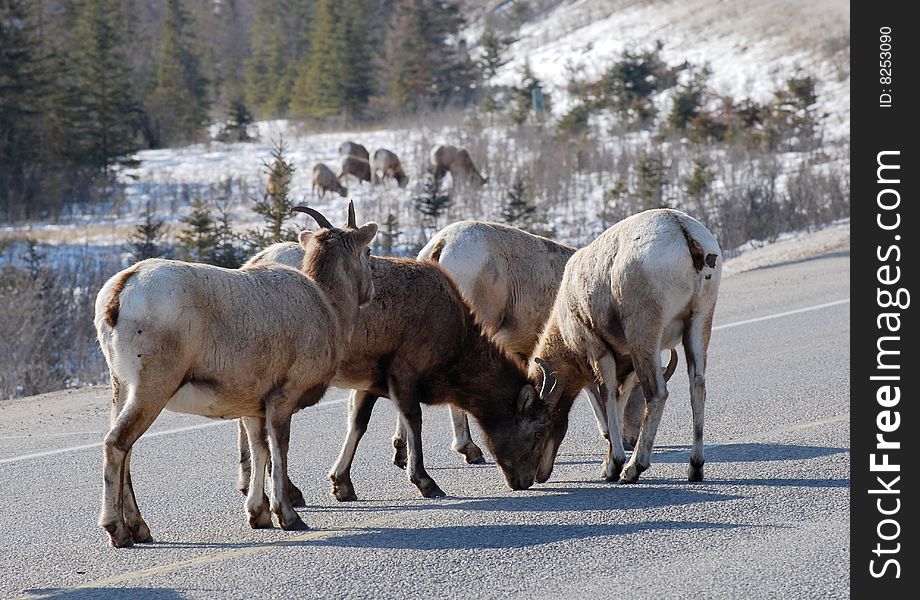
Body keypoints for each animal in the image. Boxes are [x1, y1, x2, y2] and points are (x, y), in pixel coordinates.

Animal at [237, 241, 552, 500]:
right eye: (539, 432)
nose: (526, 480)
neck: (456, 346)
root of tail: (253, 261)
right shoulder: (404, 371)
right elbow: (413, 420)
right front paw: (425, 481)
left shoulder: (371, 382)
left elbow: (358, 424)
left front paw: (342, 483)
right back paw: (286, 492)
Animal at [532, 209, 720, 486]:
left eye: (539, 427)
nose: (537, 475)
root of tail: (682, 229)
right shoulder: (627, 366)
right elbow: (620, 401)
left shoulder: (600, 352)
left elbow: (609, 396)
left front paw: (613, 466)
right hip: (698, 323)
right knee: (697, 386)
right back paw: (695, 468)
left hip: (644, 337)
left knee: (657, 394)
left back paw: (633, 469)